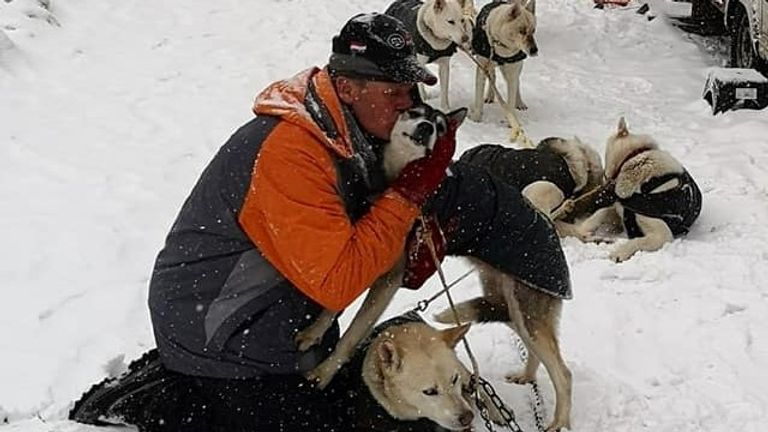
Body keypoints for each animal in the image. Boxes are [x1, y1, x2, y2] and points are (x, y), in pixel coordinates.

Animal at [576, 116, 704, 262]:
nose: (602, 178)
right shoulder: (619, 206)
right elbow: (597, 215)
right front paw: (586, 233)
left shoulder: (662, 234)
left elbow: (636, 240)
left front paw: (620, 252)